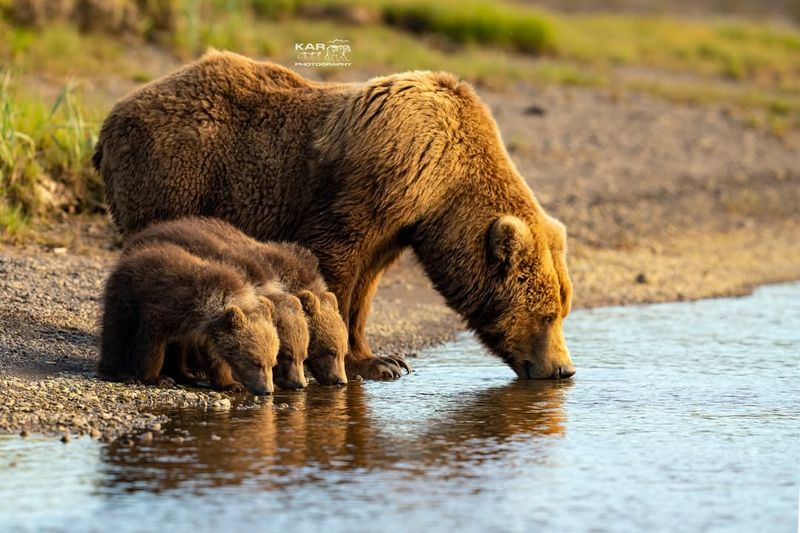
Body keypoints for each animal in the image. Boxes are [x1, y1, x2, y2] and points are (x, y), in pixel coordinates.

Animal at [99, 239, 280, 392]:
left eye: (272, 363)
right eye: (255, 362)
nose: (267, 390)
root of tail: (131, 256)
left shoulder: (205, 331)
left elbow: (216, 357)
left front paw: (232, 384)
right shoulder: (172, 307)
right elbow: (153, 343)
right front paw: (157, 378)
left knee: (178, 347)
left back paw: (186, 375)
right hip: (127, 295)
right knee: (117, 333)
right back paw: (119, 373)